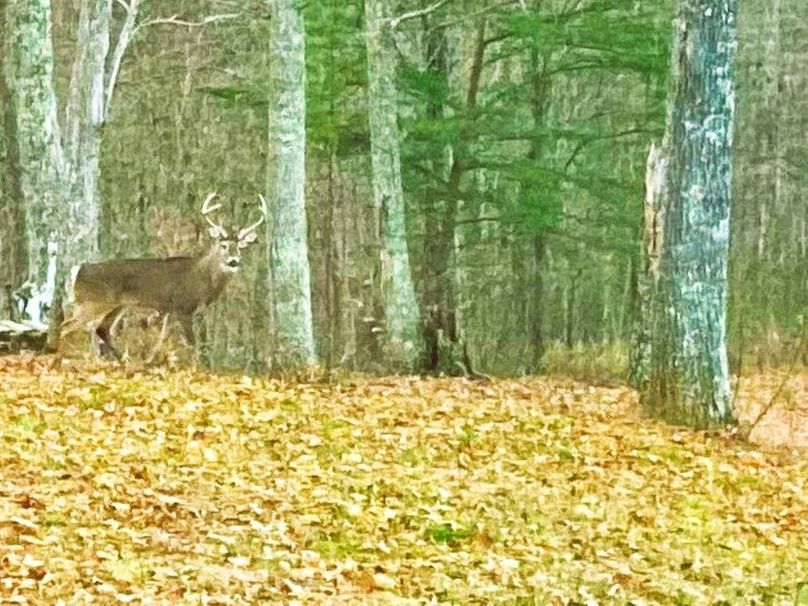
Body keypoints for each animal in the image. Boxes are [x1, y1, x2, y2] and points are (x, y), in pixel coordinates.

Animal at [57, 192, 267, 364]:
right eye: (224, 245)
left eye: (240, 247)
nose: (233, 261)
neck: (203, 278)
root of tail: (79, 269)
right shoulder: (183, 307)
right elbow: (192, 344)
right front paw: (196, 367)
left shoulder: (169, 310)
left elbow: (162, 338)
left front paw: (151, 360)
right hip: (92, 301)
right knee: (67, 326)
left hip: (118, 306)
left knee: (101, 329)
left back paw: (120, 361)